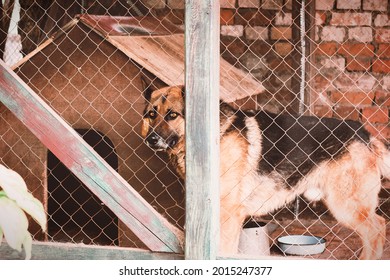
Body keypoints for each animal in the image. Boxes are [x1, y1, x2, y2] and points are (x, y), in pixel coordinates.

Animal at [141, 82, 390, 260]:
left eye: (172, 115)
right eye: (152, 115)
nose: (151, 139)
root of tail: (365, 134)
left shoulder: (229, 214)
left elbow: (225, 250)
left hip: (345, 205)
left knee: (377, 229)